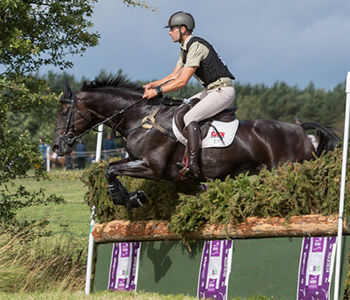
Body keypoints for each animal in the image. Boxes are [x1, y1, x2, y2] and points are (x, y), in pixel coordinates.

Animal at [52, 76, 340, 210]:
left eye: (64, 112)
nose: (57, 148)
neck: (141, 117)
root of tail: (300, 130)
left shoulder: (154, 168)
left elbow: (110, 169)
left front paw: (125, 198)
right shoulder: (138, 160)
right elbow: (110, 167)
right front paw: (131, 197)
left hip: (287, 172)